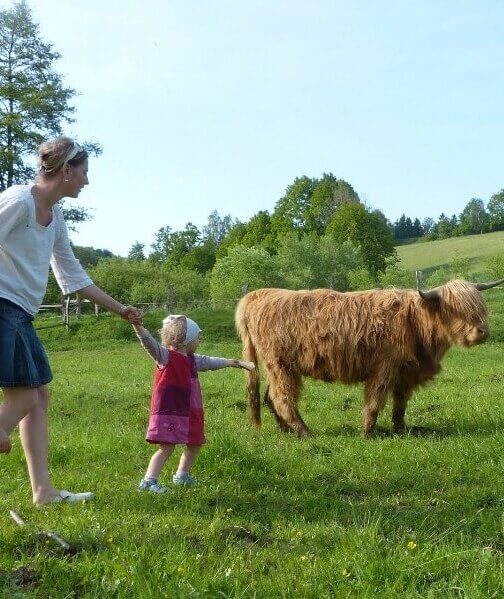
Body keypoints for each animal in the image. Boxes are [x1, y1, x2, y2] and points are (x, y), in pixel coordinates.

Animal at [236, 278, 504, 438]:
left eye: (480, 308)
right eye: (455, 309)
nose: (482, 331)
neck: (416, 322)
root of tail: (258, 295)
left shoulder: (406, 372)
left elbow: (400, 405)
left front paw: (400, 430)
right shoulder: (384, 368)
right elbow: (375, 401)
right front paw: (367, 433)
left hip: (279, 367)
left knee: (270, 397)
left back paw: (287, 431)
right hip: (279, 364)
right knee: (282, 398)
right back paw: (305, 432)